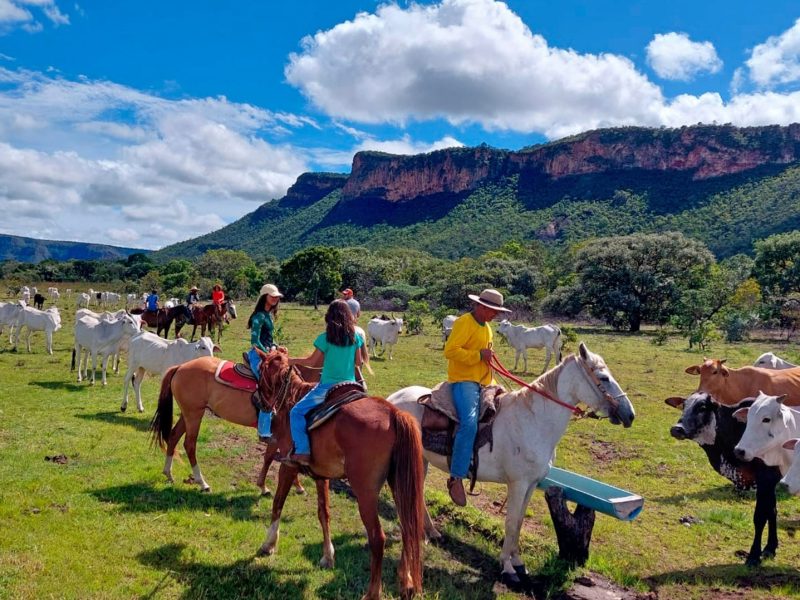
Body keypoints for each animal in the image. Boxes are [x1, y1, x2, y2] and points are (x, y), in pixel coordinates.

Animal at [150, 346, 424, 600]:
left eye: (262, 375)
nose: (259, 402)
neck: (292, 400)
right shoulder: (319, 474)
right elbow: (323, 513)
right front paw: (327, 556)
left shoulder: (289, 464)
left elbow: (278, 502)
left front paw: (269, 543)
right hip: (193, 412)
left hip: (366, 491)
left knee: (379, 538)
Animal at [384, 340, 636, 584]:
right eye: (604, 377)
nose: (630, 414)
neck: (533, 421)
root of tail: (392, 398)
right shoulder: (518, 483)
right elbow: (512, 522)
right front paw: (507, 567)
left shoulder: (532, 484)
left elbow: (520, 521)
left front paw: (518, 562)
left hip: (421, 459)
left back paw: (429, 532)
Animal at [668, 394, 780, 568]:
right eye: (684, 405)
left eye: (702, 407)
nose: (676, 429)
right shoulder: (768, 482)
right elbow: (772, 512)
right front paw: (770, 548)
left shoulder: (765, 479)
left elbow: (760, 517)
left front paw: (754, 556)